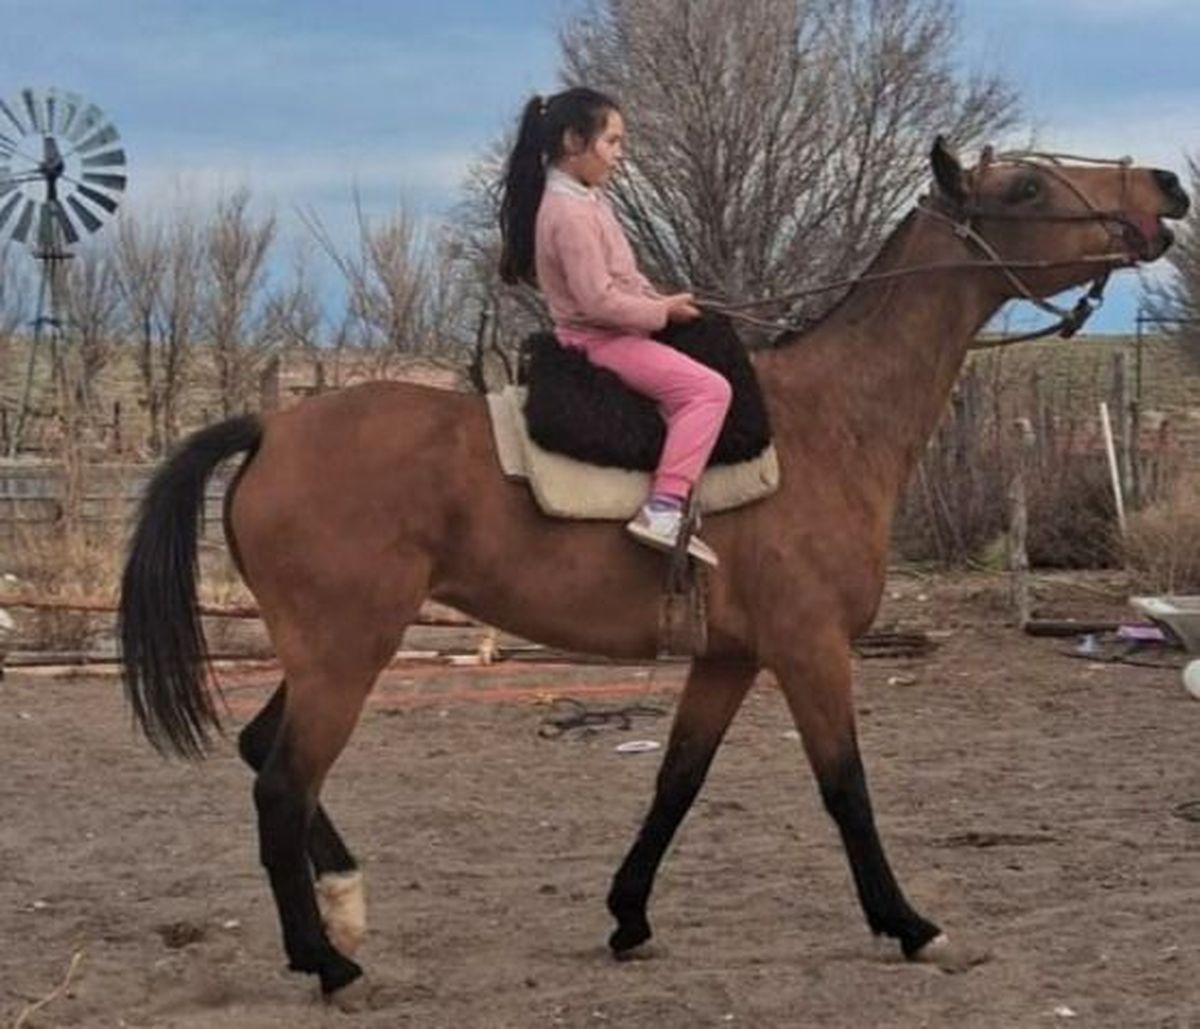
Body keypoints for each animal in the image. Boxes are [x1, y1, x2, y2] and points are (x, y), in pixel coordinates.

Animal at [118, 138, 1190, 1003]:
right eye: (1027, 185)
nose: (1167, 187)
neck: (832, 420)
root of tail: (271, 426)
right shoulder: (810, 650)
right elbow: (846, 788)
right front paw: (910, 924)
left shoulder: (728, 658)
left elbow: (678, 780)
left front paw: (628, 914)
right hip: (348, 654)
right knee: (281, 785)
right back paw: (329, 960)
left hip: (325, 655)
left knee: (264, 751)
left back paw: (344, 904)